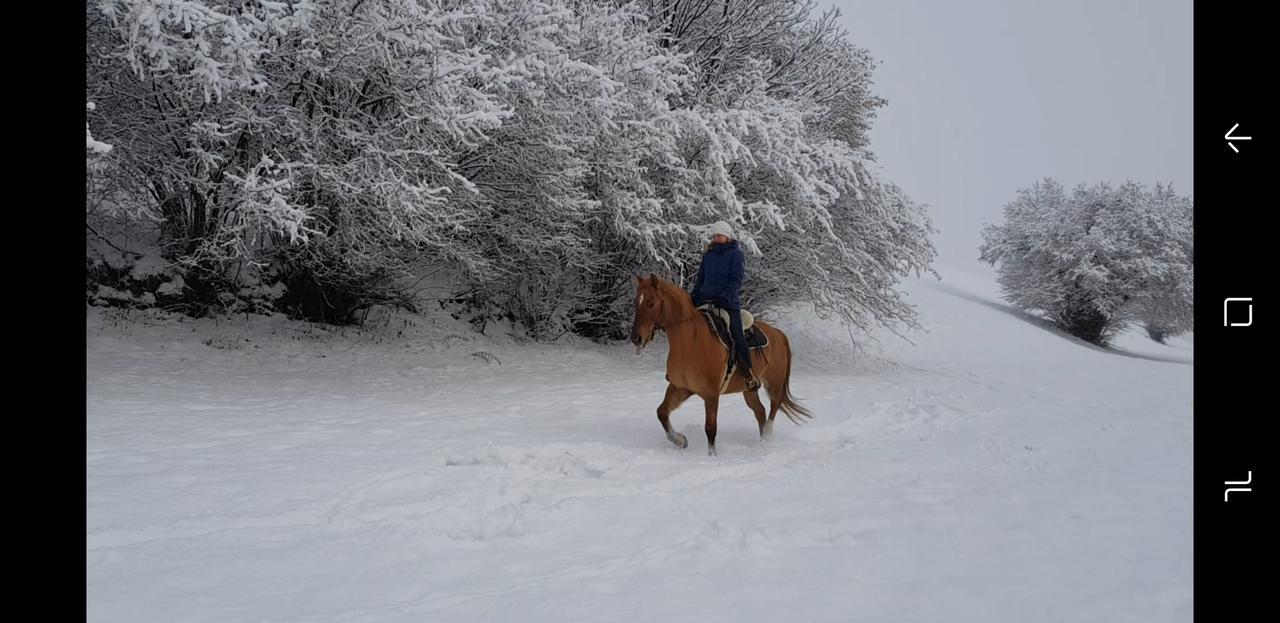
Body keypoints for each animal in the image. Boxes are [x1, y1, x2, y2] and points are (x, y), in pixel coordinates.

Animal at [627, 275, 808, 455]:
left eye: (651, 302)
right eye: (636, 301)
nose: (636, 338)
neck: (691, 342)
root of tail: (777, 333)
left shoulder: (711, 394)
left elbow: (710, 428)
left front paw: (711, 456)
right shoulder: (680, 387)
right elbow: (662, 413)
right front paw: (680, 440)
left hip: (774, 382)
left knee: (774, 405)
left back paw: (768, 434)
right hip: (749, 389)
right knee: (760, 411)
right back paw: (762, 440)